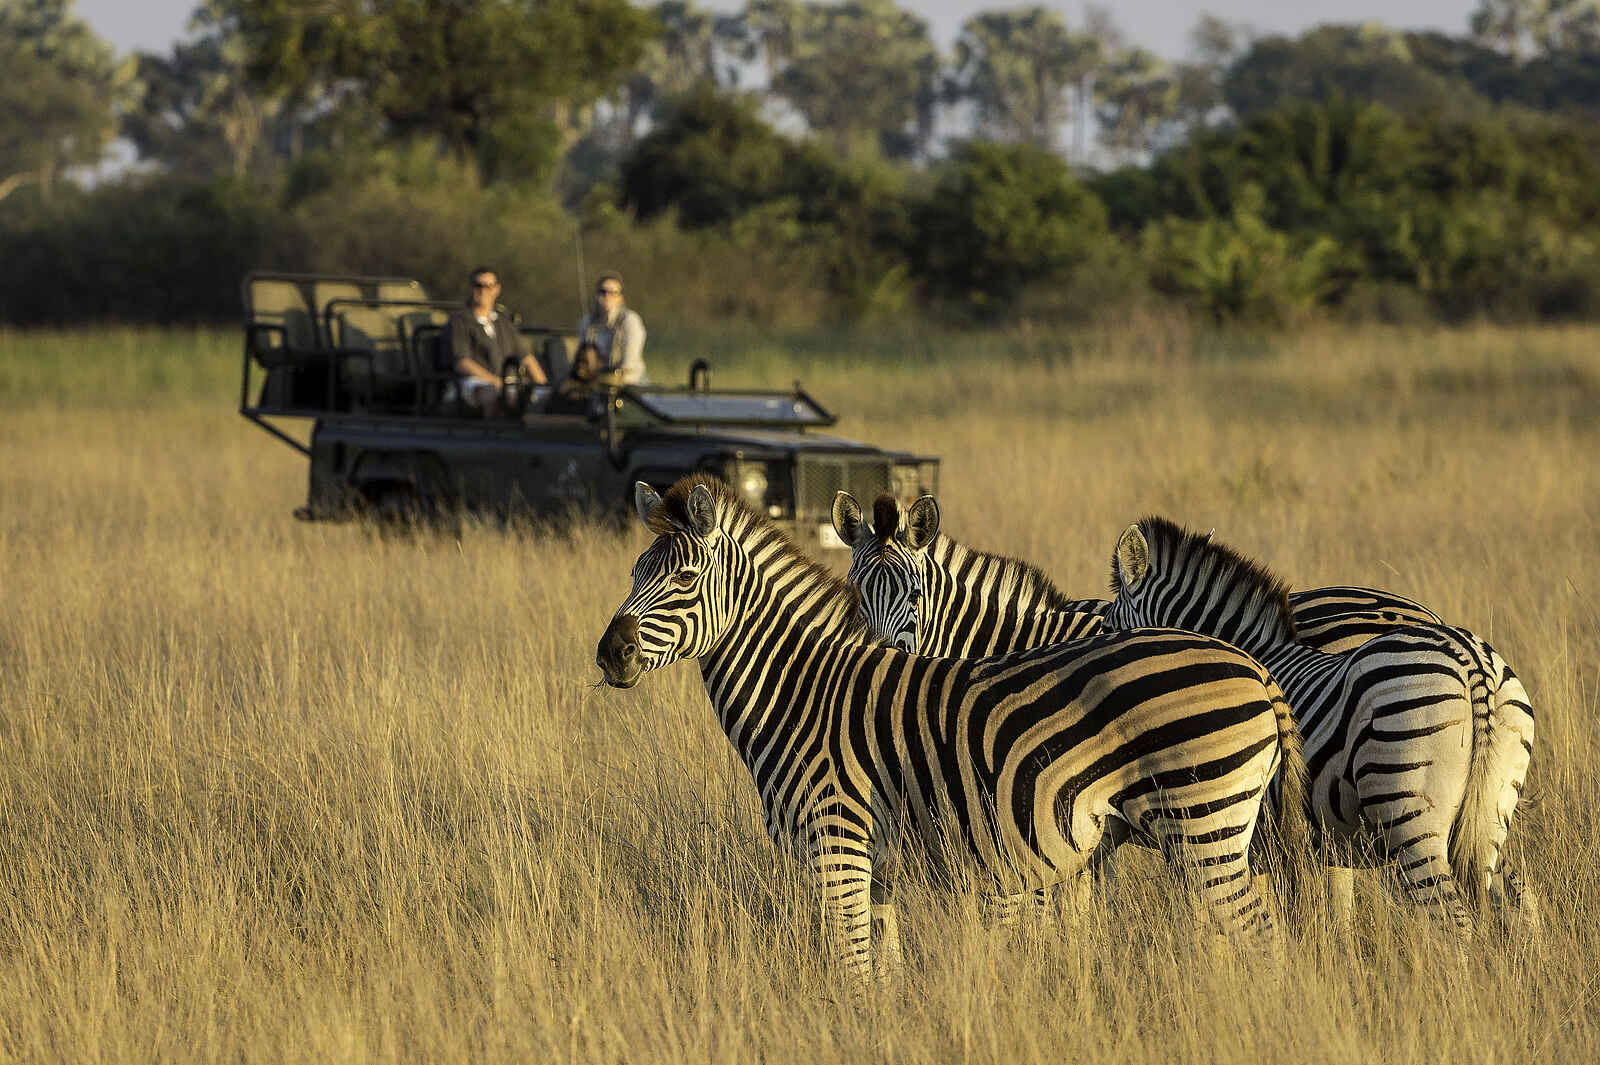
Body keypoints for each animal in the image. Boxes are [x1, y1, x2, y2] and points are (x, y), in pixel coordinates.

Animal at [596, 476, 1312, 985]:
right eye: (634, 575)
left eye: (684, 579)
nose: (609, 655)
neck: (804, 691)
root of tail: (1255, 667)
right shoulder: (875, 871)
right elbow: (880, 976)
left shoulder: (837, 850)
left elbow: (851, 975)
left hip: (1204, 827)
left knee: (1262, 942)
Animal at [1103, 516, 1537, 936]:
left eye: (1105, 631)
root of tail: (1471, 660)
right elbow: (1331, 915)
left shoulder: (1245, 833)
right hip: (1491, 809)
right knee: (1511, 896)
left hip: (1409, 809)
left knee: (1451, 919)